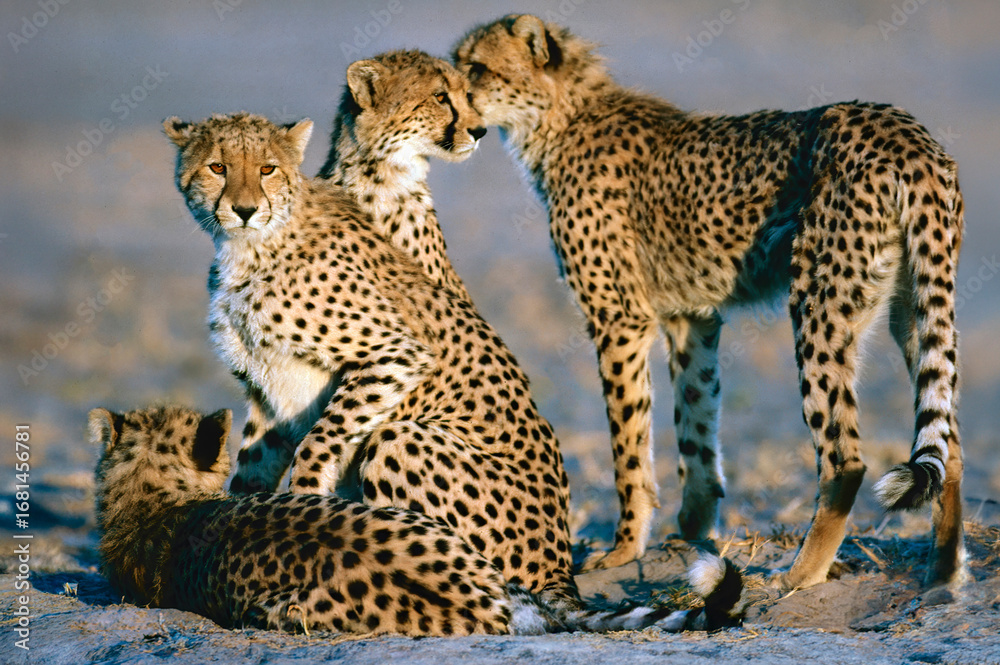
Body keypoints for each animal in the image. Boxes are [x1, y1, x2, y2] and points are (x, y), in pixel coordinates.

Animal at [164, 111, 581, 611]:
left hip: (400, 442)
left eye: (267, 169)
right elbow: (252, 467)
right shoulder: (267, 392)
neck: (252, 245)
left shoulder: (394, 354)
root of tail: (561, 567)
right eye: (217, 168)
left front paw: (309, 511)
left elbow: (317, 443)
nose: (244, 210)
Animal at [454, 14, 966, 590]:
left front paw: (623, 550)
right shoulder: (690, 316)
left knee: (846, 458)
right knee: (948, 444)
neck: (560, 116)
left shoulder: (620, 318)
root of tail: (904, 131)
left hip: (818, 299)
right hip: (913, 302)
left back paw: (796, 577)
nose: (453, 99)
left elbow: (629, 442)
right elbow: (695, 423)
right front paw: (691, 534)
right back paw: (943, 576)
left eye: (477, 68)